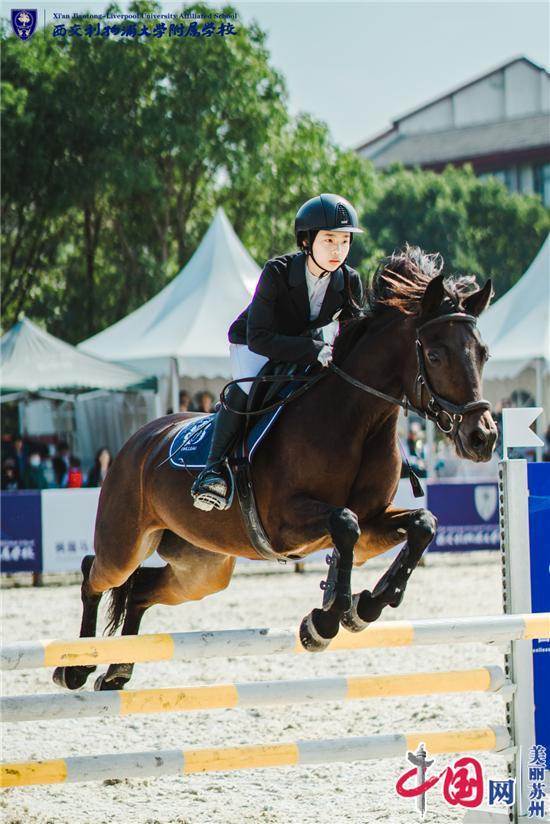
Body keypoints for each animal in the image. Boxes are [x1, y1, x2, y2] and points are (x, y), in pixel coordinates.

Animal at [54, 246, 498, 696]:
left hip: (202, 569)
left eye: (483, 354)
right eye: (436, 355)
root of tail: (139, 440)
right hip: (125, 543)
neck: (356, 420)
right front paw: (324, 621)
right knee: (94, 572)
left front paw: (363, 607)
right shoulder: (284, 522)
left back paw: (118, 671)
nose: (482, 438)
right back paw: (76, 667)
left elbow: (422, 524)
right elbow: (345, 523)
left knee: (142, 590)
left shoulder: (374, 522)